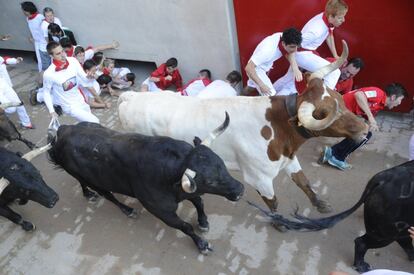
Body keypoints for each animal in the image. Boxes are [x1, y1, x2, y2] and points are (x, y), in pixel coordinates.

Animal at [47, 119, 244, 253]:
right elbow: (186, 226)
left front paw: (203, 222)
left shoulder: (188, 191)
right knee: (107, 195)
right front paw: (202, 244)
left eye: (222, 164)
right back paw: (127, 210)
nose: (240, 190)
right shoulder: (162, 212)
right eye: (210, 181)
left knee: (83, 184)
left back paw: (88, 194)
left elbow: (199, 202)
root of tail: (62, 131)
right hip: (94, 181)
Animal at [118, 41, 368, 226]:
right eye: (323, 113)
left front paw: (321, 204)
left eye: (338, 98)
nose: (365, 128)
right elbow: (273, 203)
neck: (277, 128)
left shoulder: (288, 160)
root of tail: (129, 96)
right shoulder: (260, 178)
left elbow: (304, 182)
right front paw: (279, 223)